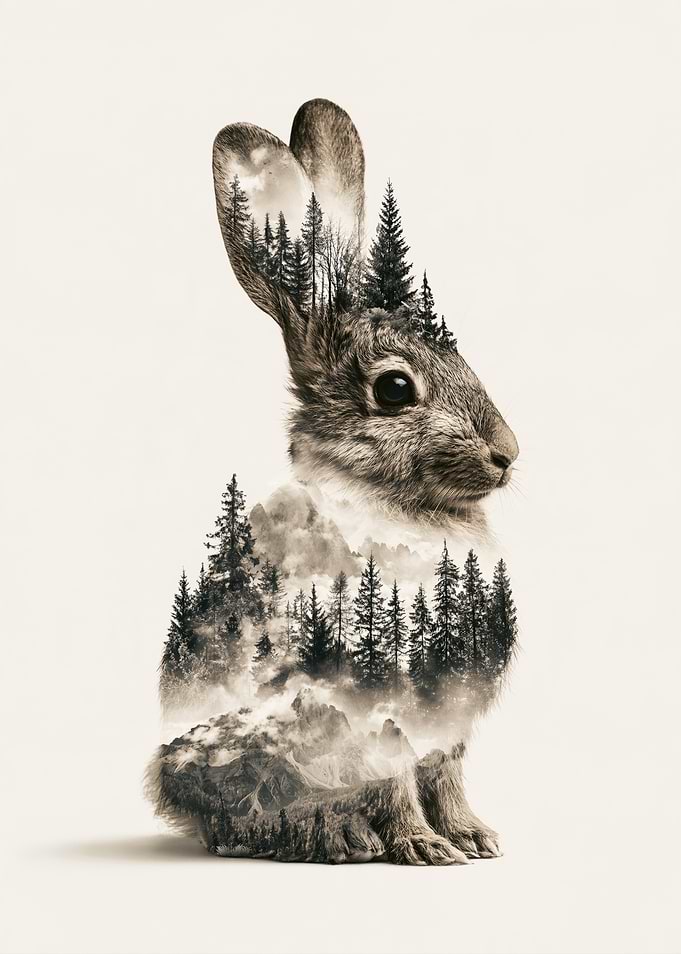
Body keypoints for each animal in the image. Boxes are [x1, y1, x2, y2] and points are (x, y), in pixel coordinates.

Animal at [148, 99, 519, 866]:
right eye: (395, 389)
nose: (509, 454)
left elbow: (446, 772)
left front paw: (472, 836)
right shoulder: (372, 703)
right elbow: (393, 777)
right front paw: (424, 847)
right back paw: (333, 833)